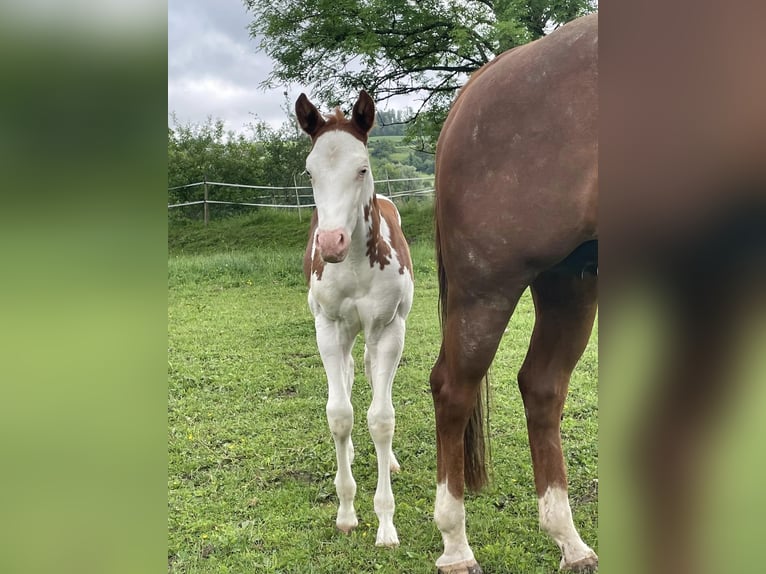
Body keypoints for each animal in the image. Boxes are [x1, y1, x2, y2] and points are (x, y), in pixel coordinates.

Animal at [296, 90, 414, 548]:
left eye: (362, 167)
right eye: (310, 172)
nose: (331, 243)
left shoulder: (388, 330)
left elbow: (381, 419)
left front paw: (385, 523)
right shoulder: (327, 327)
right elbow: (340, 415)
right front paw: (346, 511)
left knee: (366, 375)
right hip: (343, 333)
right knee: (346, 377)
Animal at [432, 13, 600, 574]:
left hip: (572, 281)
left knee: (542, 387)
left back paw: (568, 538)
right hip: (487, 289)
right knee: (451, 391)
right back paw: (456, 545)